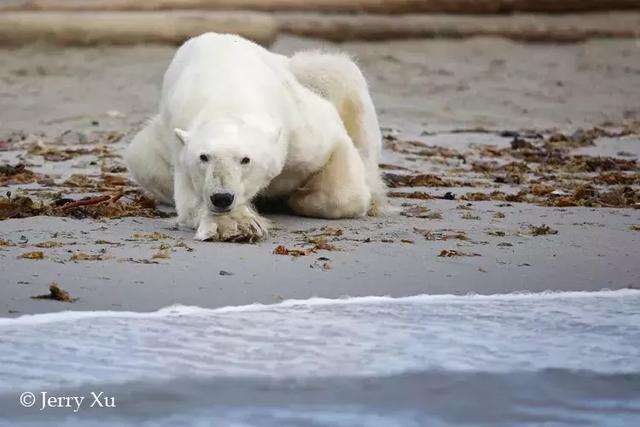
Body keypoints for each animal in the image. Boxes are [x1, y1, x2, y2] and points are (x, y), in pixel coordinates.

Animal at [125, 32, 384, 242]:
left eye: (245, 159)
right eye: (203, 157)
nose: (222, 197)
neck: (230, 98)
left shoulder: (300, 131)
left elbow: (342, 176)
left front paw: (297, 198)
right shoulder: (181, 149)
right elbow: (189, 202)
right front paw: (238, 224)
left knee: (339, 73)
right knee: (141, 157)